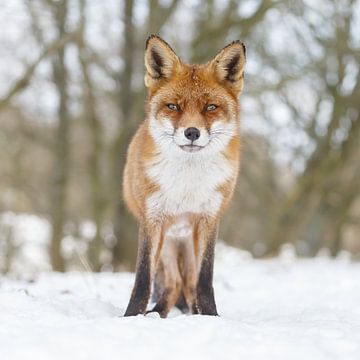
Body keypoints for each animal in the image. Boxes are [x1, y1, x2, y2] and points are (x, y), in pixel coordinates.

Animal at [123, 35, 245, 316]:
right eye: (173, 106)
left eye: (210, 107)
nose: (192, 132)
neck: (188, 185)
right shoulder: (152, 219)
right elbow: (142, 279)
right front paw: (130, 317)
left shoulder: (209, 220)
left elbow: (205, 281)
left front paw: (211, 316)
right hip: (169, 242)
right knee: (174, 283)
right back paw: (157, 313)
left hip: (187, 243)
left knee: (187, 284)